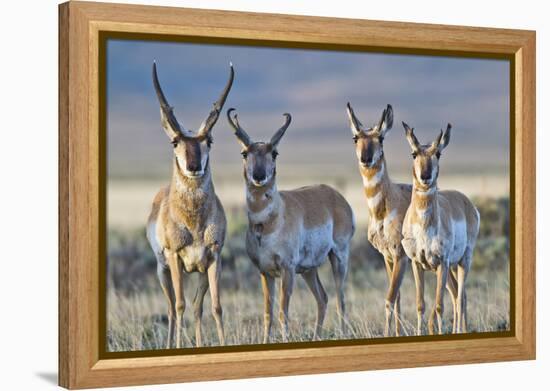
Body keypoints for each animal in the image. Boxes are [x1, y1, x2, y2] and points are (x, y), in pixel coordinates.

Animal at [146, 62, 234, 350]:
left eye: (209, 141)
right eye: (175, 141)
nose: (194, 166)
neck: (194, 223)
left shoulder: (214, 258)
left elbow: (215, 307)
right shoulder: (175, 258)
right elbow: (180, 305)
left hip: (198, 272)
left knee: (197, 308)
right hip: (163, 270)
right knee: (173, 308)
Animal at [226, 108, 356, 344]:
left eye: (274, 153)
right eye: (244, 153)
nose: (259, 176)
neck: (268, 224)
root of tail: (336, 195)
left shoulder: (287, 269)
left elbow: (282, 312)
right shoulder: (265, 272)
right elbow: (268, 313)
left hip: (338, 258)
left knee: (341, 299)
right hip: (308, 269)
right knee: (323, 298)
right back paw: (316, 338)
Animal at [348, 103, 412, 336]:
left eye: (381, 138)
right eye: (356, 137)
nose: (366, 158)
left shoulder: (400, 256)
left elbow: (389, 299)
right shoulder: (388, 257)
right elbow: (398, 297)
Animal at [404, 123, 480, 336]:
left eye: (438, 153)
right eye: (413, 153)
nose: (425, 176)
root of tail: (466, 202)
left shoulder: (442, 262)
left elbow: (438, 306)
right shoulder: (417, 264)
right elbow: (420, 305)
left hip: (462, 262)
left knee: (461, 298)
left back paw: (460, 332)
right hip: (450, 269)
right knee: (457, 295)